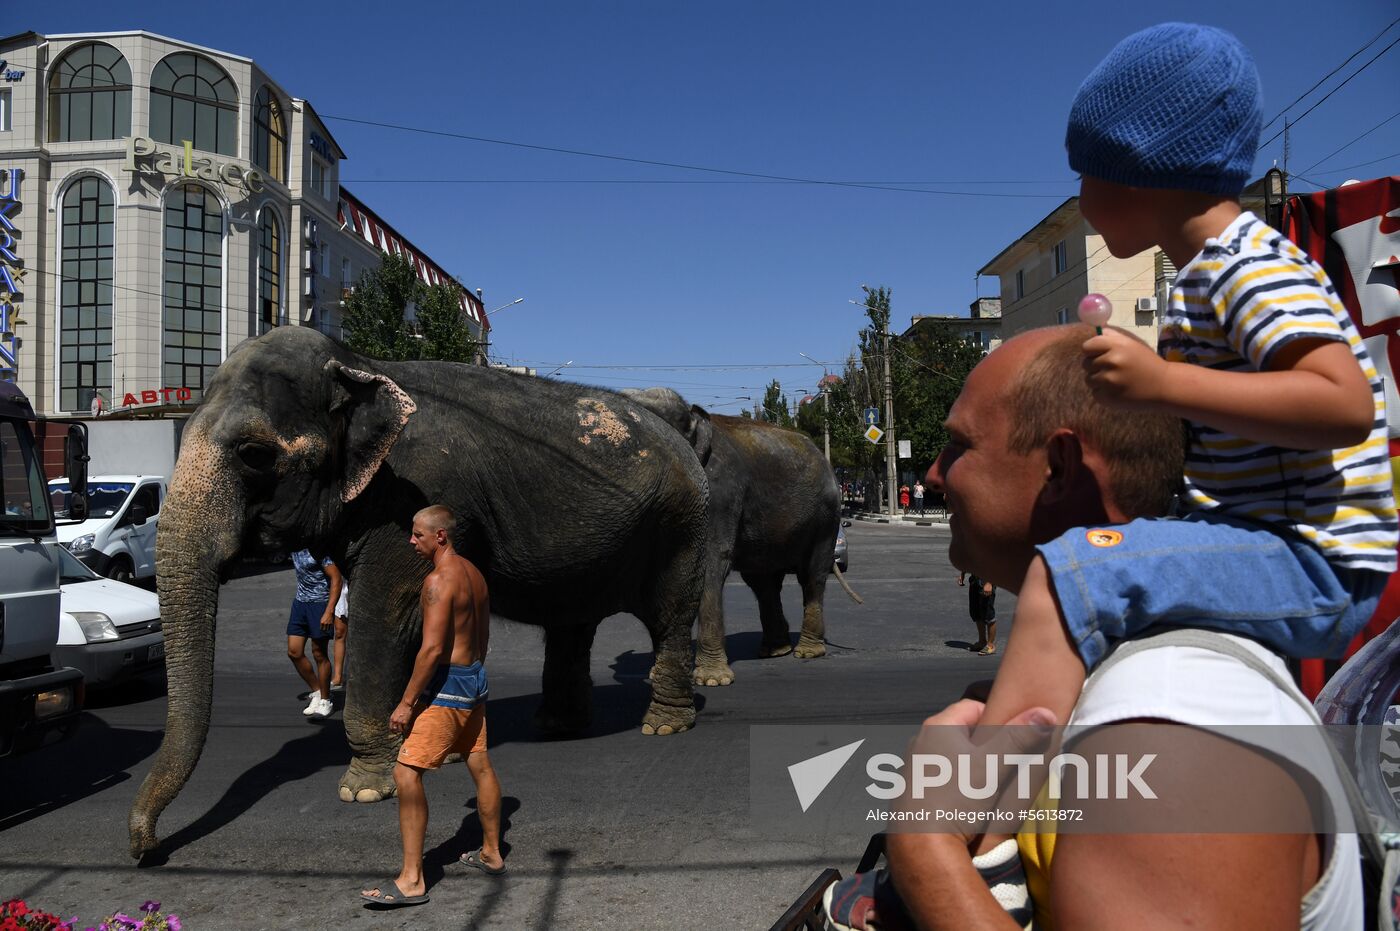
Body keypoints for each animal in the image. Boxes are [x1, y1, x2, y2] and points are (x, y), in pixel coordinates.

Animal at [128, 327, 709, 858]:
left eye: (253, 454)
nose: (145, 847)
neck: (360, 365)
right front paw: (436, 751)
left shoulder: (413, 498)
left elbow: (385, 614)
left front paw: (363, 791)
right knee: (572, 623)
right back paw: (559, 725)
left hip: (681, 527)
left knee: (671, 616)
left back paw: (663, 726)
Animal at [625, 388, 848, 686]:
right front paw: (659, 674)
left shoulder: (721, 491)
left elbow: (710, 562)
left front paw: (711, 681)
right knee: (763, 583)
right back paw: (775, 651)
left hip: (825, 518)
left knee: (812, 574)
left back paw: (807, 652)